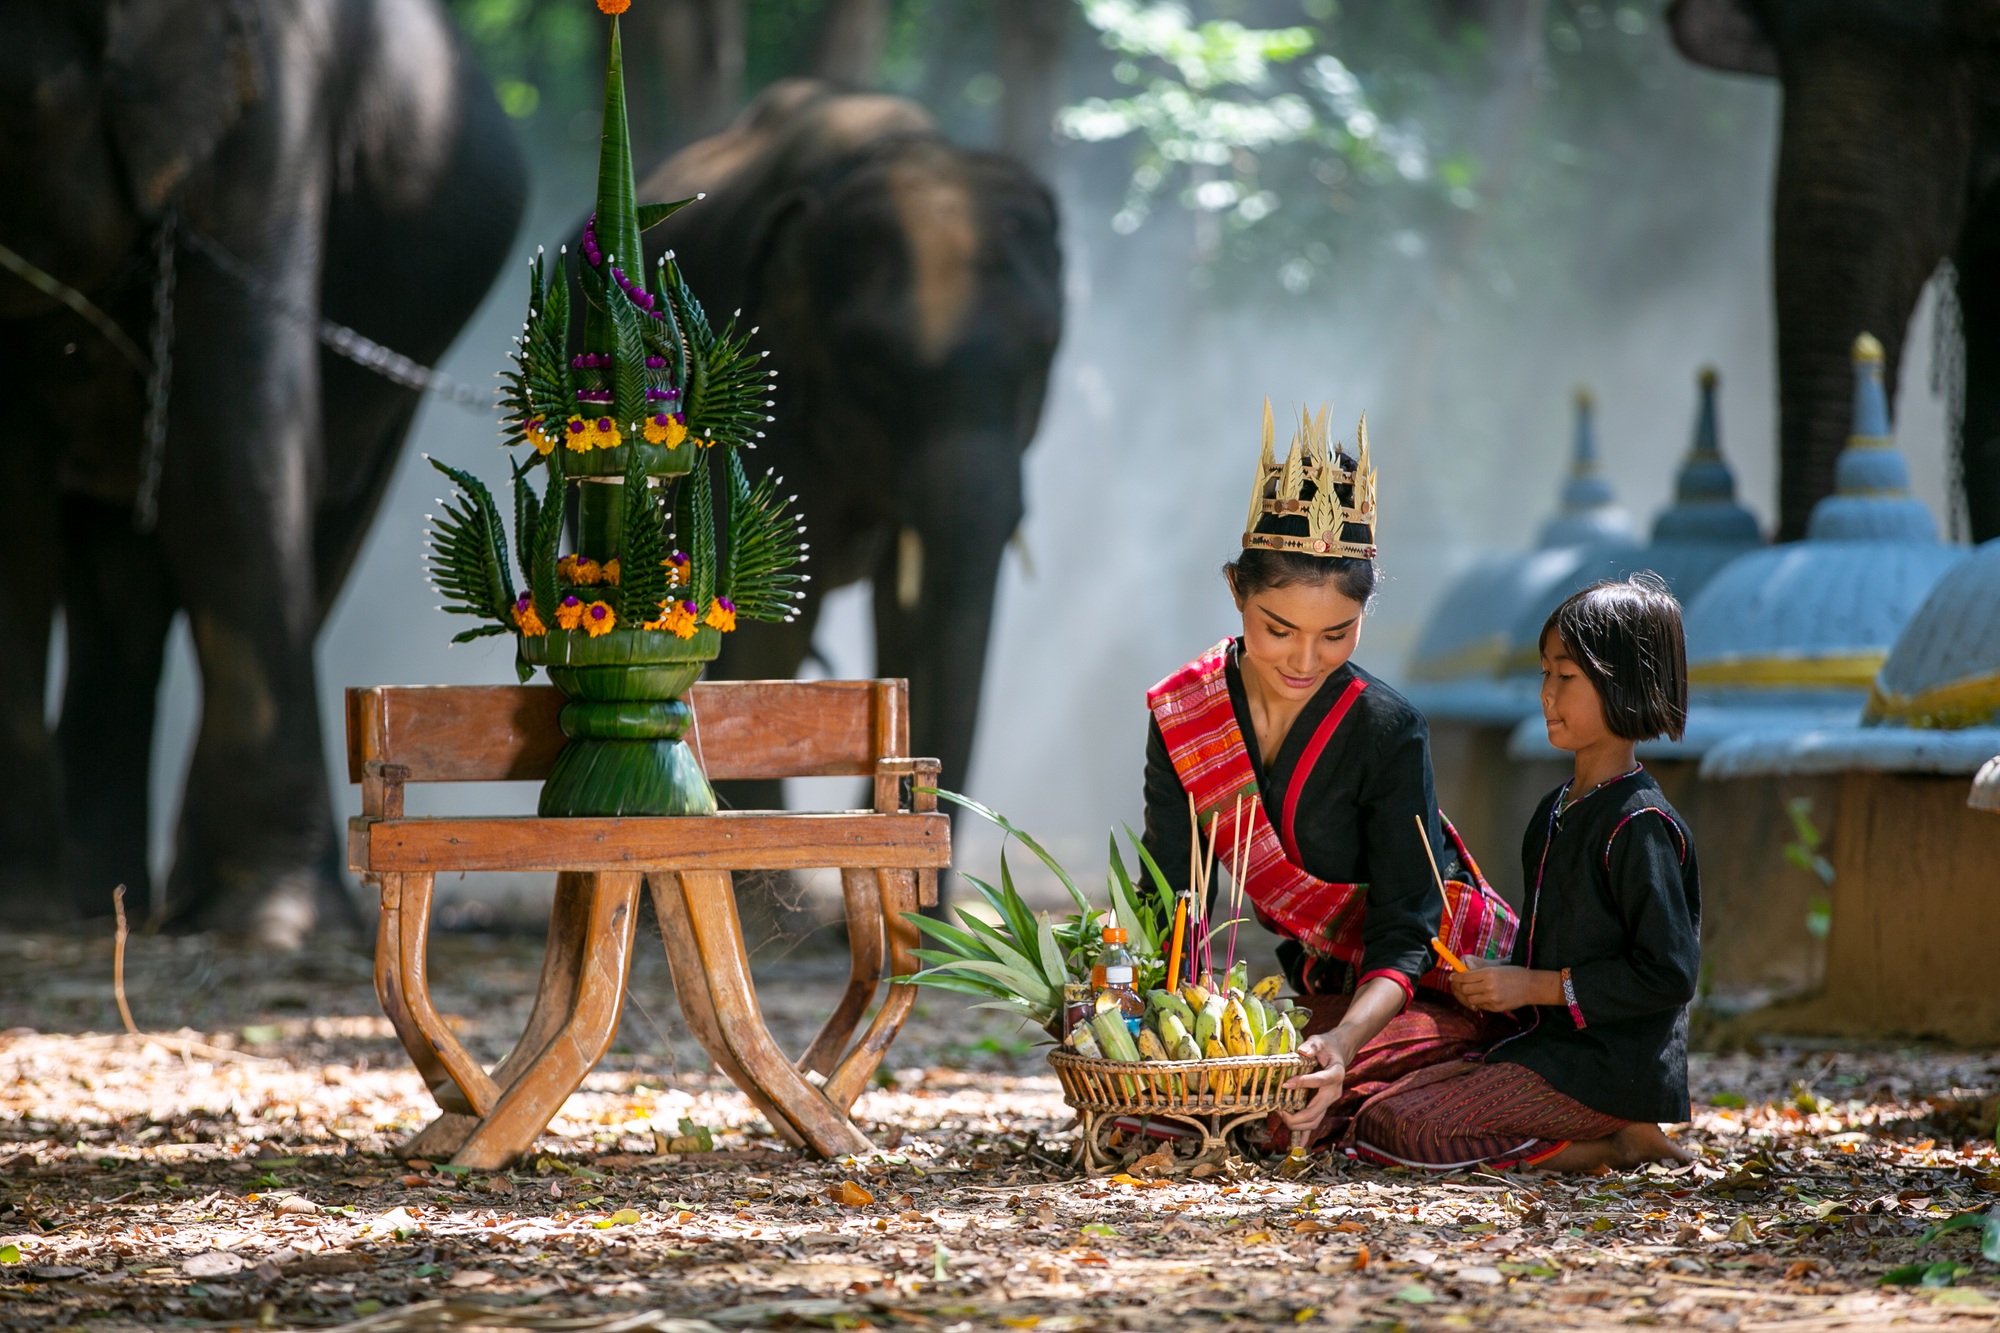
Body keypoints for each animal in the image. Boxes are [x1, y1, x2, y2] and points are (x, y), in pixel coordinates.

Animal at [0, 0, 528, 940]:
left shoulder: (267, 115)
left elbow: (231, 430)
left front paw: (271, 927)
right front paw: (19, 910)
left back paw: (189, 907)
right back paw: (103, 904)